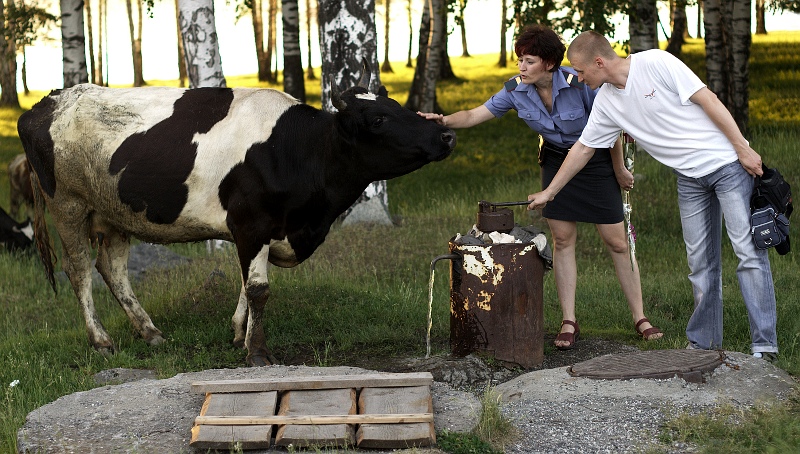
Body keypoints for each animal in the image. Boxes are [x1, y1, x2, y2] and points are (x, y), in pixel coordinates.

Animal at [17, 72, 456, 366]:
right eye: (378, 120)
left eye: (397, 107)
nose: (446, 135)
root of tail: (52, 99)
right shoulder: (252, 223)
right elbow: (259, 288)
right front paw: (258, 352)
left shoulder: (261, 230)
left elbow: (248, 285)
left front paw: (238, 335)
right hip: (69, 205)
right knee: (78, 269)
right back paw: (101, 341)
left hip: (116, 213)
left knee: (112, 267)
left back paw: (151, 332)